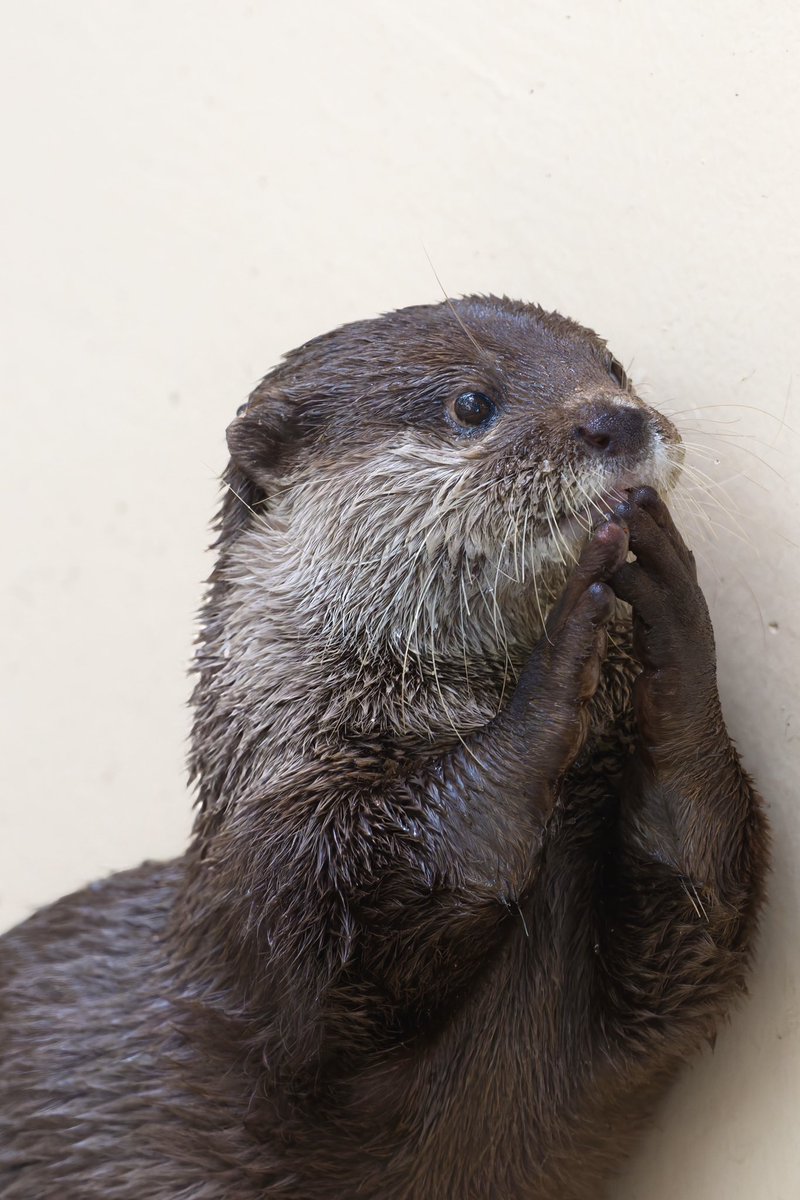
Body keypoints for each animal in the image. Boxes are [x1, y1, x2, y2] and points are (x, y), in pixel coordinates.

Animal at [0, 296, 767, 1199]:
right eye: (470, 403)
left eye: (614, 371)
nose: (615, 419)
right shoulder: (279, 892)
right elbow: (425, 872)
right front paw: (560, 652)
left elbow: (696, 874)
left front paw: (671, 601)